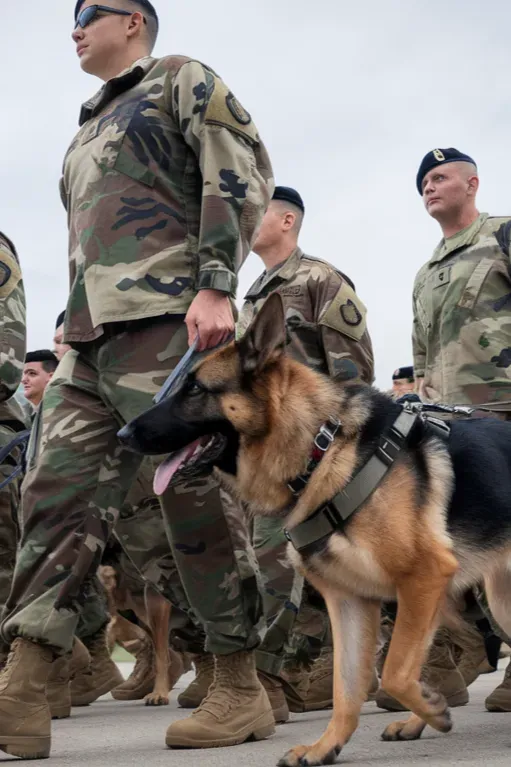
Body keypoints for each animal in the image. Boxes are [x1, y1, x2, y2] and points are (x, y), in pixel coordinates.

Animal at [118, 292, 511, 764]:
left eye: (194, 390)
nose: (122, 434)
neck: (322, 448)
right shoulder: (350, 601)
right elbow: (350, 687)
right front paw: (327, 746)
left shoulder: (424, 576)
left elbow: (395, 670)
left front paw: (432, 710)